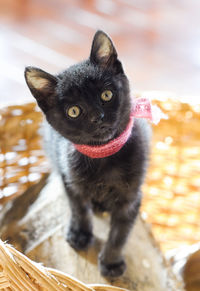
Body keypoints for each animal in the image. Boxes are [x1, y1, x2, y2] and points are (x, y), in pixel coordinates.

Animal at [24, 30, 150, 278]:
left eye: (106, 95)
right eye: (74, 111)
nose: (97, 117)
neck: (103, 157)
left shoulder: (131, 197)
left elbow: (120, 233)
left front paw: (111, 262)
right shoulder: (69, 179)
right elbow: (79, 208)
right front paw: (80, 234)